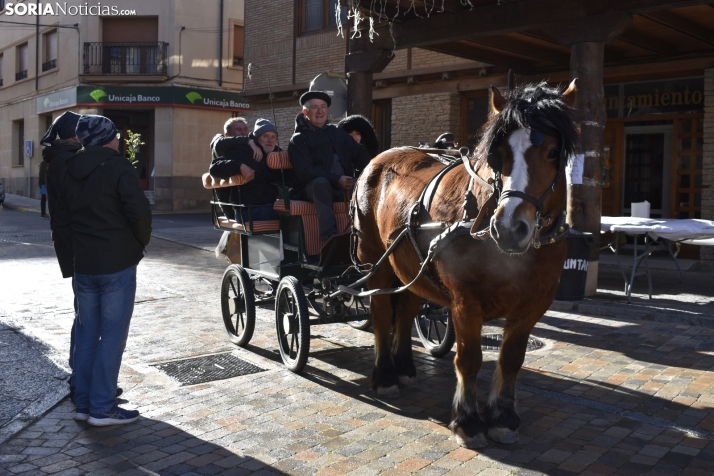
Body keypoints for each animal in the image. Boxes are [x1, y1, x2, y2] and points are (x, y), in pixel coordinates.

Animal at [350, 80, 580, 448]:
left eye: (553, 152)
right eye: (498, 154)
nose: (510, 228)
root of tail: (380, 158)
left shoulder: (533, 304)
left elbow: (511, 358)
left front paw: (503, 418)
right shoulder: (465, 302)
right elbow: (469, 359)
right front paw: (468, 421)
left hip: (411, 267)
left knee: (408, 309)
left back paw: (405, 367)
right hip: (376, 264)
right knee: (383, 313)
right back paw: (386, 376)